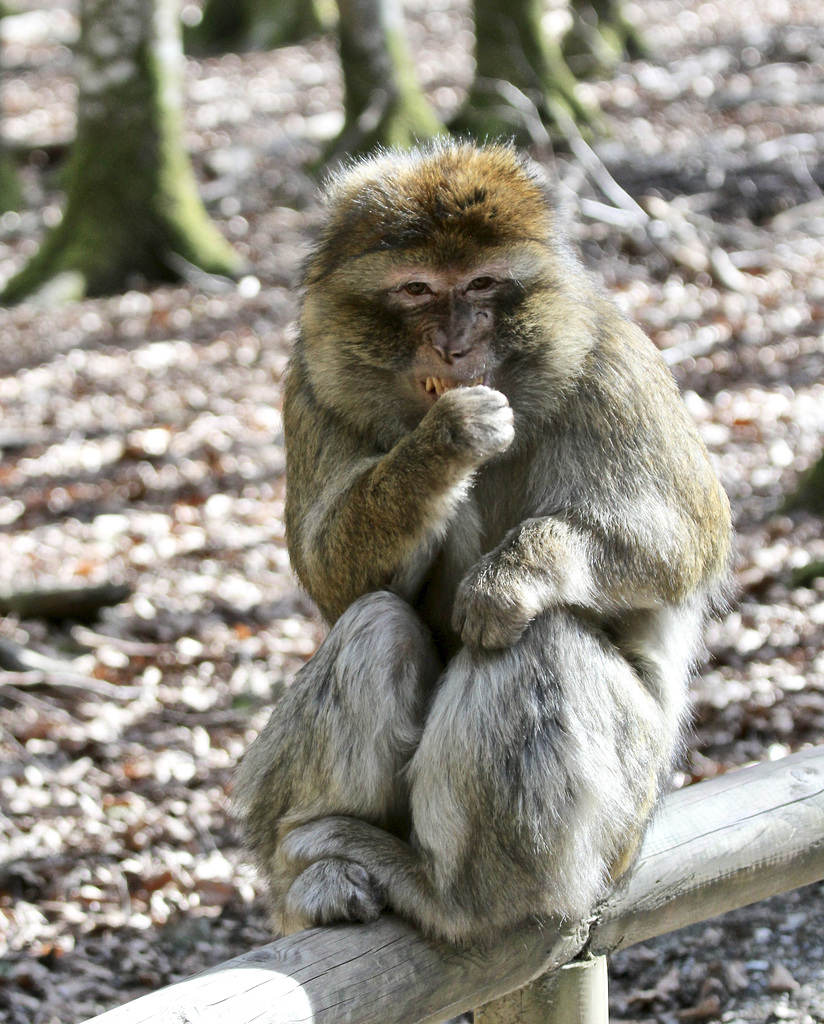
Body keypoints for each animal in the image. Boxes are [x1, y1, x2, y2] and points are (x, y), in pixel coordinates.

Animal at [233, 140, 732, 946]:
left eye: (482, 284)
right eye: (417, 289)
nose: (456, 342)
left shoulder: (609, 359)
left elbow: (684, 539)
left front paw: (512, 576)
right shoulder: (311, 386)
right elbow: (333, 578)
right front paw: (444, 444)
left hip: (624, 819)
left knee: (534, 641)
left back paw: (457, 897)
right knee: (377, 625)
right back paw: (318, 873)